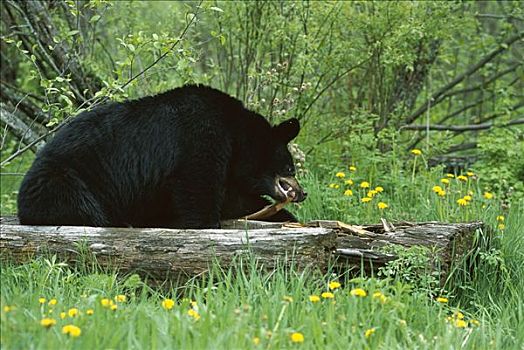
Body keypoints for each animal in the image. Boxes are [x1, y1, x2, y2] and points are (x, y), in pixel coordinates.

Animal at [18, 85, 308, 230]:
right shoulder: (201, 137)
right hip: (63, 181)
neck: (234, 131)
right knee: (84, 207)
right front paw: (207, 222)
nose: (303, 193)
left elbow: (234, 199)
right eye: (289, 167)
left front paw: (285, 217)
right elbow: (198, 189)